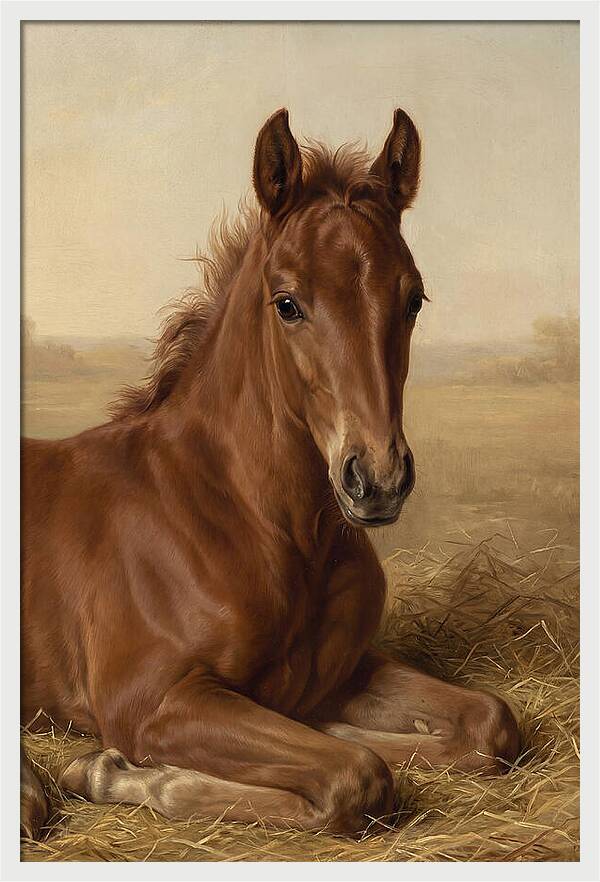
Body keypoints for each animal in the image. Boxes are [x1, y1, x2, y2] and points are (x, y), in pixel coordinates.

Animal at [21, 108, 520, 839]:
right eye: (287, 303)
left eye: (414, 299)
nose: (378, 479)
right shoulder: (151, 701)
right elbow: (356, 775)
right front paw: (115, 771)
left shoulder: (343, 672)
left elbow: (488, 723)